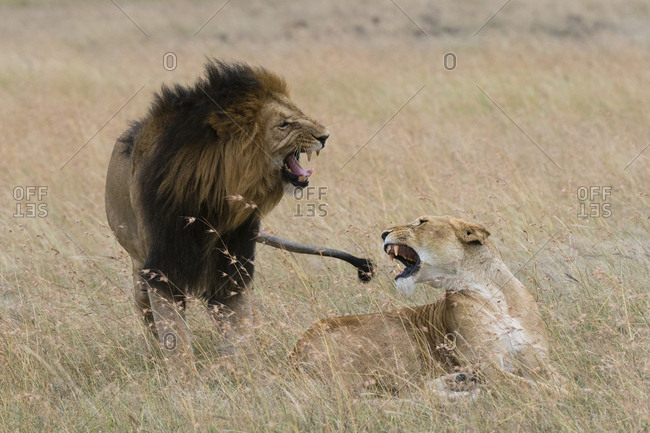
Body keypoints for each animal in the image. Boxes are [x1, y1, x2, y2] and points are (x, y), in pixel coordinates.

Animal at [105, 59, 374, 364]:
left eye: (299, 112)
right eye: (284, 123)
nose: (325, 136)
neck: (215, 196)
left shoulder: (234, 258)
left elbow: (237, 322)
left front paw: (245, 366)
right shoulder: (161, 266)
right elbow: (175, 335)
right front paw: (182, 372)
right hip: (138, 268)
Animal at [293, 216, 566, 397]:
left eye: (422, 222)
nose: (383, 233)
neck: (496, 297)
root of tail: (296, 349)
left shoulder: (538, 360)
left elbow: (560, 378)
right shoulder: (487, 367)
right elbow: (539, 387)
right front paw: (573, 395)